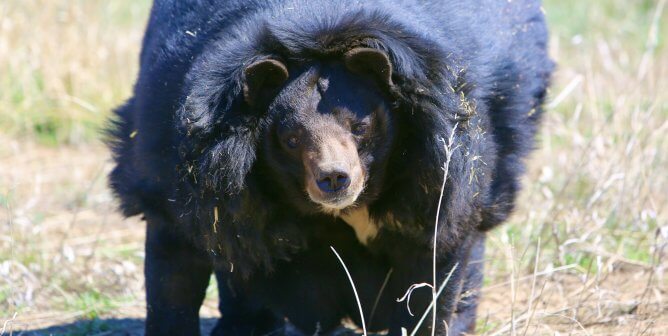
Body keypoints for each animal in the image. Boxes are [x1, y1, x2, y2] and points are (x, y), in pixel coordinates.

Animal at [108, 0, 552, 334]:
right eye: (290, 139)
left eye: (361, 127)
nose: (335, 178)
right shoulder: (187, 169)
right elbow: (177, 263)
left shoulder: (441, 168)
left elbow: (435, 261)